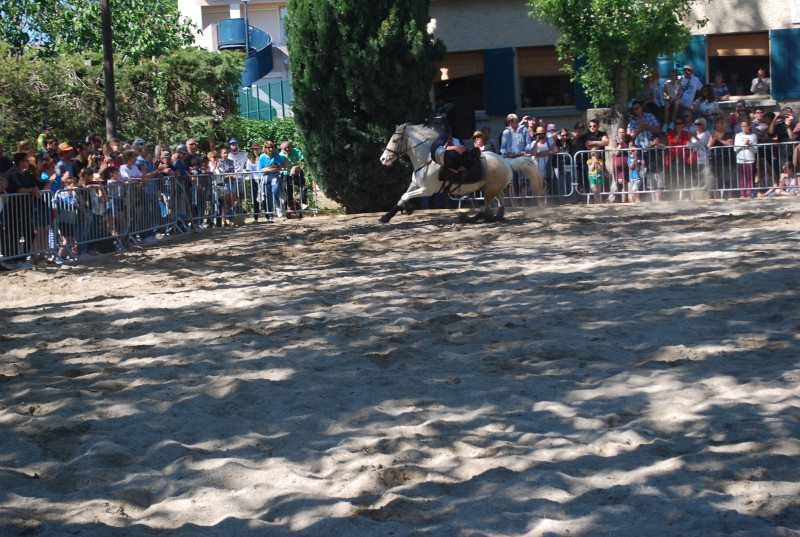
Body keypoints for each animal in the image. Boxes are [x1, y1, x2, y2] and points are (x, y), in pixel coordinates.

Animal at [380, 122, 544, 222]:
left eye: (395, 141)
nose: (383, 159)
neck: (427, 159)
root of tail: (507, 161)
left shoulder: (427, 190)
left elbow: (405, 196)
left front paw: (405, 209)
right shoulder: (415, 185)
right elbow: (402, 196)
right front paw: (388, 216)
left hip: (489, 190)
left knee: (488, 204)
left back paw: (472, 218)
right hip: (491, 188)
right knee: (500, 199)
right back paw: (496, 216)